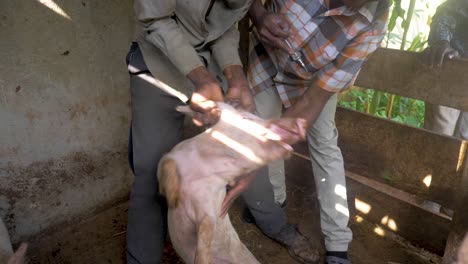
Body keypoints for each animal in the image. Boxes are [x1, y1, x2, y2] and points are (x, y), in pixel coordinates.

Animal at [157, 102, 308, 264]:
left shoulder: (210, 210)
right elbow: (167, 164)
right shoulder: (171, 155)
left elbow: (206, 232)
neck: (201, 171)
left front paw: (203, 260)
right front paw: (172, 200)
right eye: (247, 118)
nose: (302, 122)